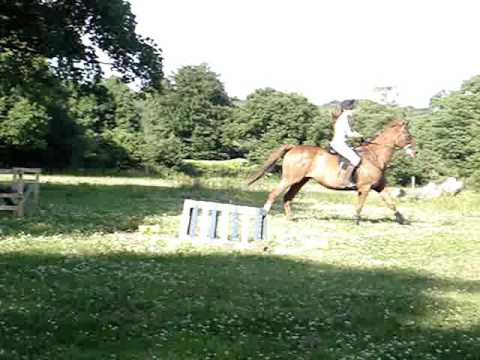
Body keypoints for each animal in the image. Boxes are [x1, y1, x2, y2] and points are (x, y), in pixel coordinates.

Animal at [248, 119, 416, 224]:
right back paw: (264, 215)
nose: (415, 152)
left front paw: (402, 221)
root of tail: (293, 147)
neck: (375, 156)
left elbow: (391, 203)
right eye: (407, 135)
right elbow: (360, 205)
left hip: (301, 181)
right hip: (290, 179)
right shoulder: (365, 187)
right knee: (274, 194)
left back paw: (291, 219)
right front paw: (356, 220)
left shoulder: (380, 187)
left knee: (287, 197)